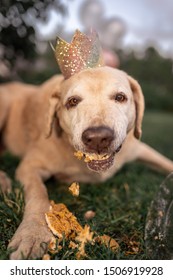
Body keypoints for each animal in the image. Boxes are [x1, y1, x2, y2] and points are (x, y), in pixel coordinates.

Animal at [0, 65, 173, 258]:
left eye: (120, 97)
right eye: (73, 101)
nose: (98, 138)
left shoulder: (139, 149)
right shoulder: (29, 166)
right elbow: (38, 195)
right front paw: (32, 234)